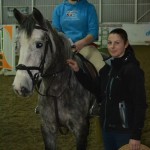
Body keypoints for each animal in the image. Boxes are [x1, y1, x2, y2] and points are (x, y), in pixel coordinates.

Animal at [12, 7, 97, 150]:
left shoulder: (80, 129)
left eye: (39, 44)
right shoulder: (48, 129)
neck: (57, 90)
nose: (20, 87)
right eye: (18, 45)